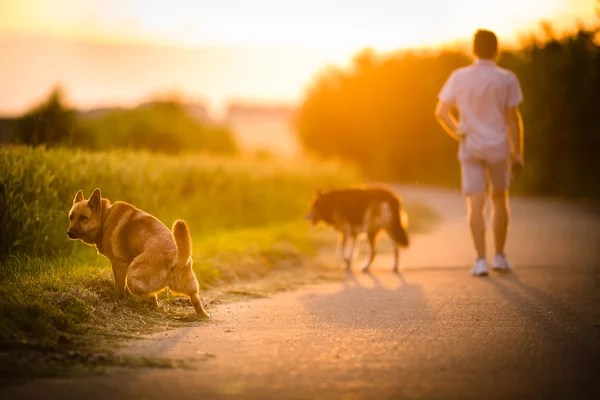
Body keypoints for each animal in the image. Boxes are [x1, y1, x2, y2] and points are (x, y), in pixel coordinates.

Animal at [66, 189, 209, 318]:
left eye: (83, 218)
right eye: (71, 217)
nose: (69, 233)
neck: (105, 216)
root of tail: (175, 257)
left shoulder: (119, 265)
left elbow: (119, 288)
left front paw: (119, 301)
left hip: (132, 277)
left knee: (149, 297)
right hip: (189, 286)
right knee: (194, 299)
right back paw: (202, 314)